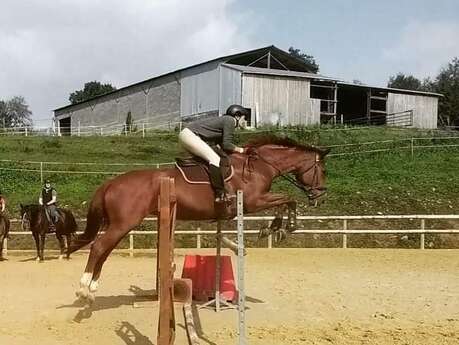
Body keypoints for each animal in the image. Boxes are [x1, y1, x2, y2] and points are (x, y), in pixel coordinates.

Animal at [66, 136, 328, 302]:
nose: (320, 195)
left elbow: (285, 200)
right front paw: (282, 227)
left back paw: (92, 289)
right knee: (99, 247)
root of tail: (110, 182)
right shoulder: (253, 201)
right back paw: (82, 289)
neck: (261, 166)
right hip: (124, 224)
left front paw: (276, 228)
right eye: (322, 170)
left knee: (103, 249)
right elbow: (288, 198)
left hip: (119, 224)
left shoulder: (257, 201)